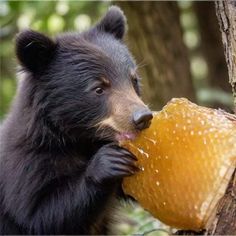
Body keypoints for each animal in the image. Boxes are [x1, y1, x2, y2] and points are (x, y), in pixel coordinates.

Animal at [0, 5, 153, 234]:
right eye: (99, 88)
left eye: (133, 80)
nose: (143, 117)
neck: (79, 139)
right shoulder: (27, 165)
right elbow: (41, 214)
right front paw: (108, 162)